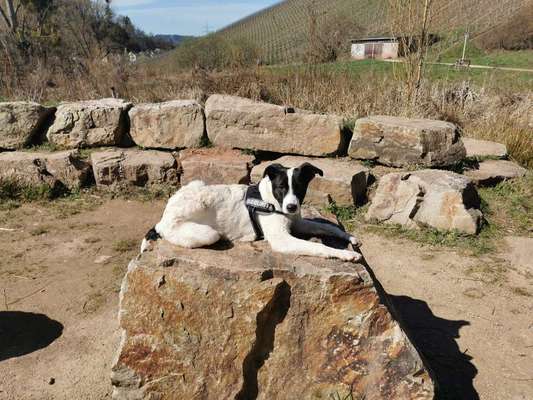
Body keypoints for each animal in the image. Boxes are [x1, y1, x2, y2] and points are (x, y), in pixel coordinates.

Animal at [140, 162, 362, 262]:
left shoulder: (297, 222)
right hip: (208, 233)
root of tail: (162, 219)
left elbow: (327, 227)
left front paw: (349, 237)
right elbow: (318, 247)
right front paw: (345, 254)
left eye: (299, 188)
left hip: (197, 183)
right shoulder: (282, 240)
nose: (291, 207)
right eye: (281, 187)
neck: (271, 201)